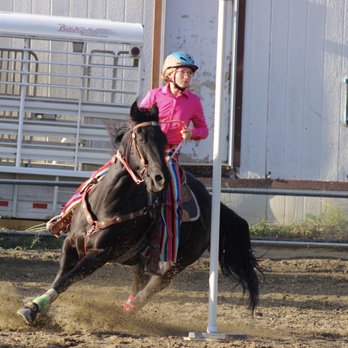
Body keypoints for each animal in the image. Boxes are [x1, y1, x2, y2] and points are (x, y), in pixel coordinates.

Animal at [17, 101, 260, 326]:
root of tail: (212, 203)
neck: (107, 204)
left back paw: (125, 313)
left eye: (163, 140)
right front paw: (36, 308)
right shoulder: (70, 244)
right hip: (141, 259)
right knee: (139, 284)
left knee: (152, 287)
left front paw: (33, 309)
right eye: (141, 138)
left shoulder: (100, 254)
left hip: (176, 262)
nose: (160, 178)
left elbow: (69, 278)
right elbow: (60, 278)